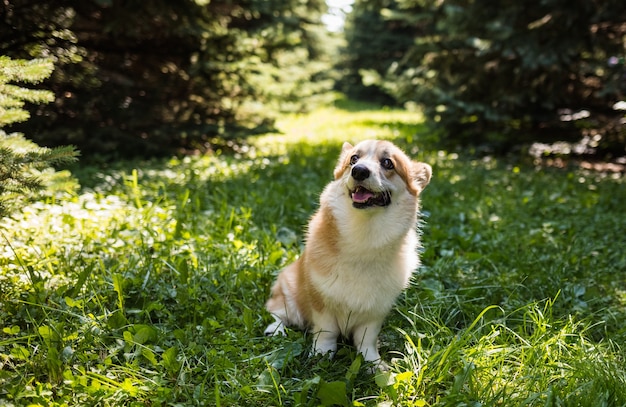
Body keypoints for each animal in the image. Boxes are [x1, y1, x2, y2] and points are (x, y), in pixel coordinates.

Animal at [264, 139, 428, 370]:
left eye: (388, 162)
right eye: (354, 159)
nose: (358, 171)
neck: (364, 234)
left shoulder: (375, 311)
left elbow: (367, 340)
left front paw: (373, 364)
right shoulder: (321, 304)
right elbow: (326, 333)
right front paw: (321, 355)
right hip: (289, 294)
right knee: (277, 312)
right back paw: (275, 330)